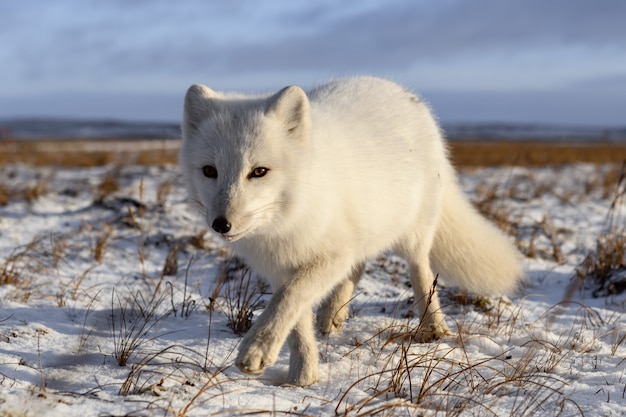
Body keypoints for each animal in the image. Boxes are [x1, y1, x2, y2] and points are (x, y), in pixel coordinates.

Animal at [178, 76, 520, 386]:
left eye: (259, 171)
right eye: (209, 171)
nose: (221, 224)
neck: (286, 219)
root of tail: (401, 91)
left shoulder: (330, 256)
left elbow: (288, 300)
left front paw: (256, 349)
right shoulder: (281, 267)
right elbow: (295, 318)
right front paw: (302, 376)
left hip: (412, 232)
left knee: (420, 270)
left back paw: (433, 326)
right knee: (359, 265)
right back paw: (333, 315)